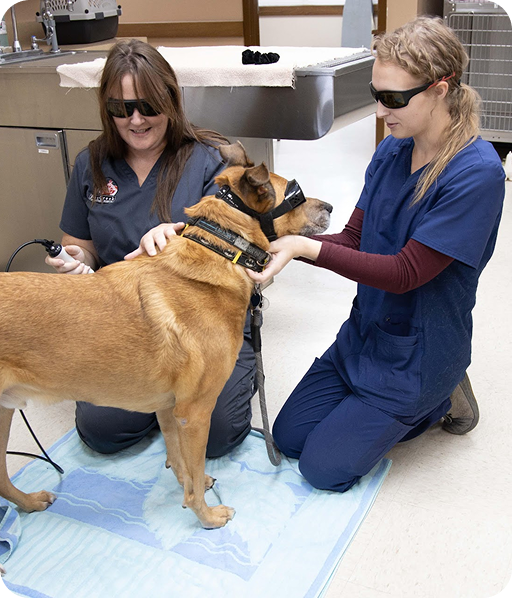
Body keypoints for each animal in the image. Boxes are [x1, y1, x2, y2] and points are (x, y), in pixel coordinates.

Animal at [0, 142, 332, 530]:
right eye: (295, 194)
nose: (331, 207)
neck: (219, 249)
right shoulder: (196, 412)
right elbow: (194, 471)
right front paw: (207, 516)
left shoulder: (169, 409)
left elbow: (182, 465)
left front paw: (190, 491)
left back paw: (29, 503)